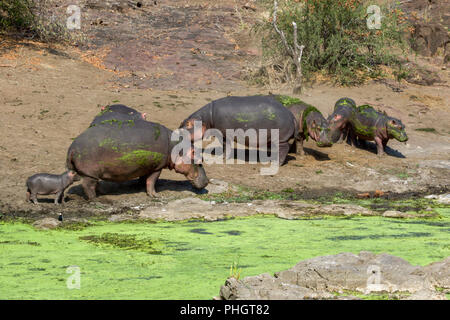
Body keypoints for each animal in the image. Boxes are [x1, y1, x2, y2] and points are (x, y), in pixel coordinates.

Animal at [67, 115, 209, 200]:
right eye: (199, 161)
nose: (207, 181)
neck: (178, 149)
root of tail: (72, 147)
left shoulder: (146, 165)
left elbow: (144, 179)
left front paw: (140, 188)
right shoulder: (157, 167)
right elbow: (151, 181)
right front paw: (155, 195)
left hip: (93, 174)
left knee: (94, 184)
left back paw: (101, 193)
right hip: (89, 174)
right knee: (87, 186)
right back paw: (95, 198)